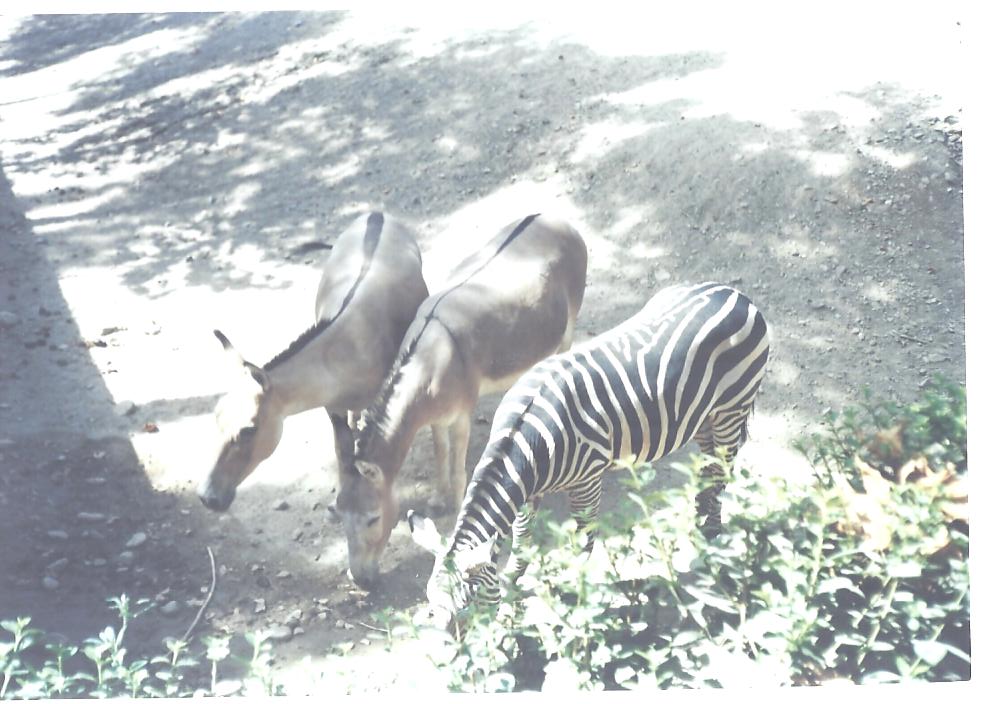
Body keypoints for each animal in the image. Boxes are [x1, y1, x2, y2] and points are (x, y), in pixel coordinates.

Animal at [408, 281, 771, 627]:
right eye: (429, 603)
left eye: (464, 608)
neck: (526, 442)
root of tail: (735, 294)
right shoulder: (527, 491)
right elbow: (522, 538)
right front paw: (513, 579)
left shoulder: (587, 481)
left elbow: (584, 541)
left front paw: (576, 595)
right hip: (704, 417)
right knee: (709, 468)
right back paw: (699, 522)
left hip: (731, 410)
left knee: (722, 473)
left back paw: (712, 536)